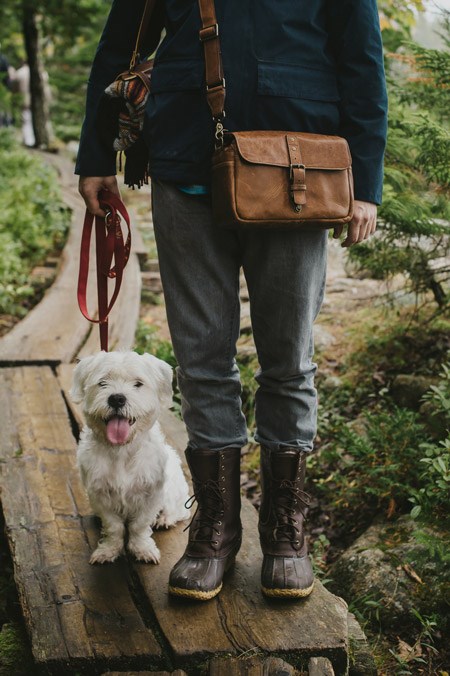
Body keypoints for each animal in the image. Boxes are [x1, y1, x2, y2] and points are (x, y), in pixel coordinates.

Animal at [70, 352, 190, 564]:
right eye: (102, 382)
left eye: (138, 383)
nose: (117, 398)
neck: (122, 450)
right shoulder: (100, 495)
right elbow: (114, 526)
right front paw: (109, 550)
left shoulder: (150, 495)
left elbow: (139, 526)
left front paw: (142, 549)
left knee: (179, 511)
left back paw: (164, 519)